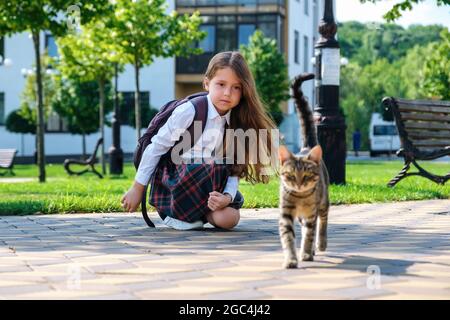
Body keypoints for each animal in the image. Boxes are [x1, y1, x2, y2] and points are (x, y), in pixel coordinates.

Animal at [278, 72, 330, 268]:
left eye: (307, 175)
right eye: (291, 175)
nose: (299, 184)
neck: (300, 198)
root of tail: (307, 147)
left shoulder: (310, 214)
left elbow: (309, 234)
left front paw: (306, 253)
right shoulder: (286, 214)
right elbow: (288, 237)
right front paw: (291, 258)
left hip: (323, 202)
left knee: (322, 222)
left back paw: (320, 244)